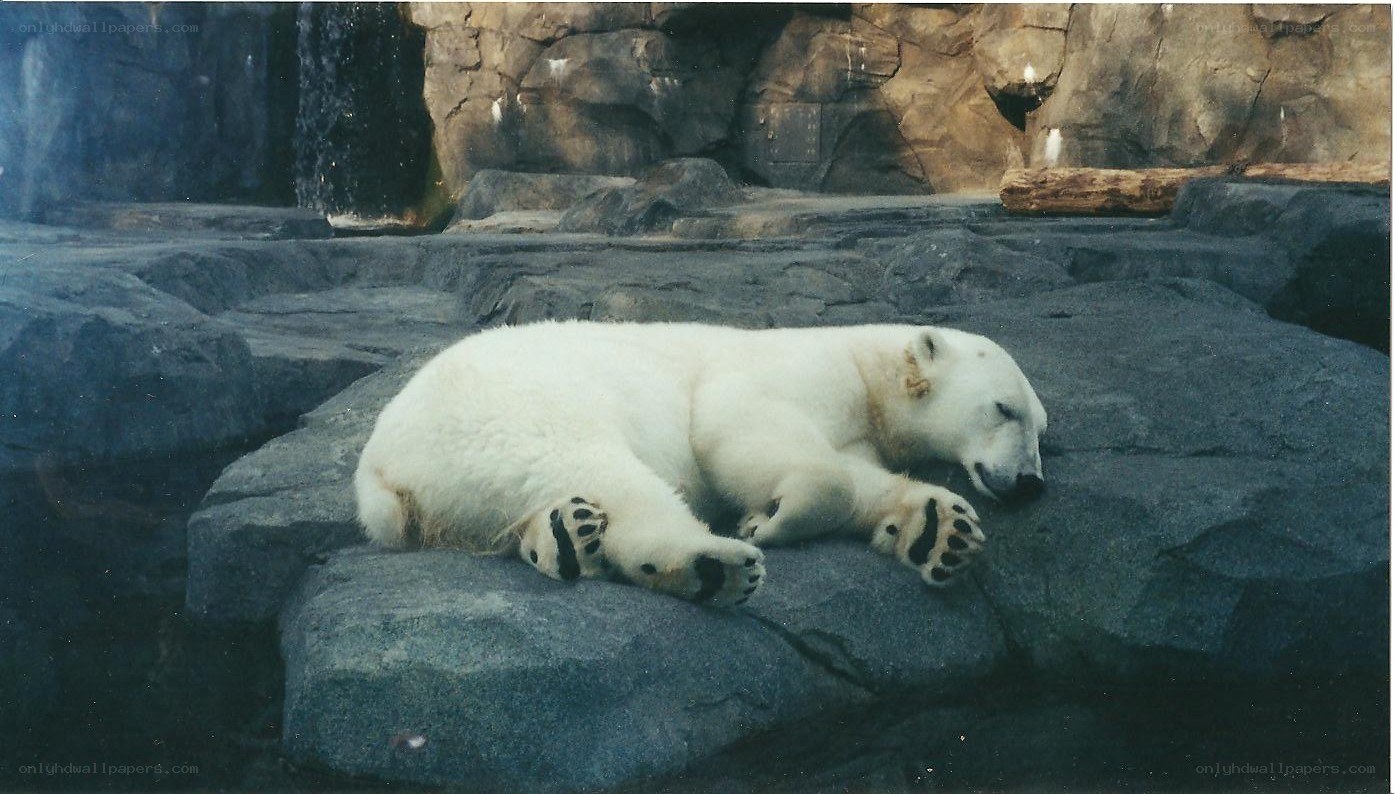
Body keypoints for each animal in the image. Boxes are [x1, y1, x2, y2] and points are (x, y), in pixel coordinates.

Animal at [354, 321, 1047, 606]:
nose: (1031, 483)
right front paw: (765, 521)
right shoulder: (790, 372)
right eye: (1004, 409)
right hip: (519, 407)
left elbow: (860, 477)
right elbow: (737, 427)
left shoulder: (859, 430)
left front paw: (940, 530)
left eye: (1043, 427)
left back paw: (563, 536)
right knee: (608, 470)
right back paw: (711, 565)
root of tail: (381, 470)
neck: (866, 366)